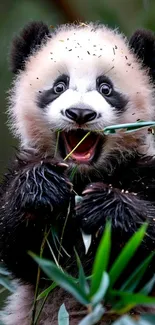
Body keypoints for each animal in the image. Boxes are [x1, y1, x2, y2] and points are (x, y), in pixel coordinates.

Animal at [0, 21, 155, 322]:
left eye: (106, 89)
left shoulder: (145, 169)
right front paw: (43, 187)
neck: (84, 176)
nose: (80, 113)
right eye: (59, 86)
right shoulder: (24, 164)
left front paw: (104, 207)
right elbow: (17, 248)